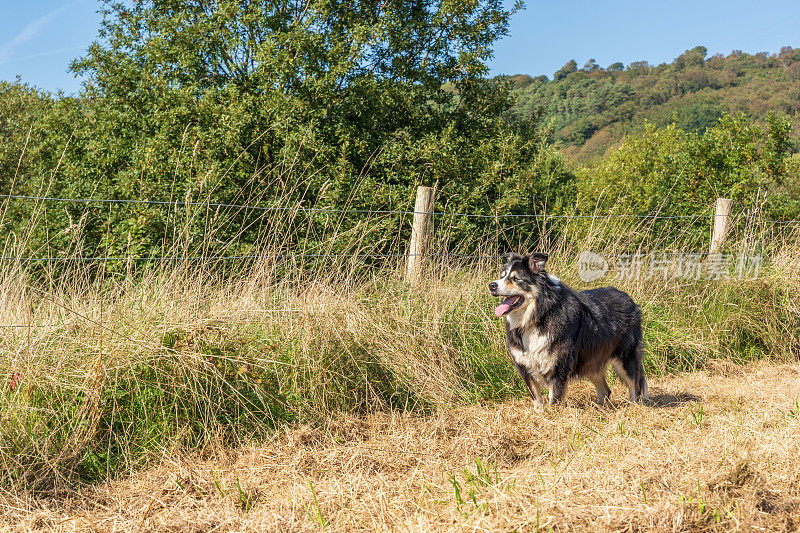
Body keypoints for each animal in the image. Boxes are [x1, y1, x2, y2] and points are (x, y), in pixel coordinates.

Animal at [488, 251, 648, 410]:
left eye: (516, 278)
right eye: (502, 276)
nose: (492, 285)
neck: (538, 316)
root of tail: (628, 298)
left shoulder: (558, 367)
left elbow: (554, 399)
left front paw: (552, 415)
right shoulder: (525, 365)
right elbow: (536, 398)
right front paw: (539, 414)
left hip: (626, 357)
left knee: (636, 384)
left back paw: (634, 406)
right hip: (592, 359)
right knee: (606, 390)